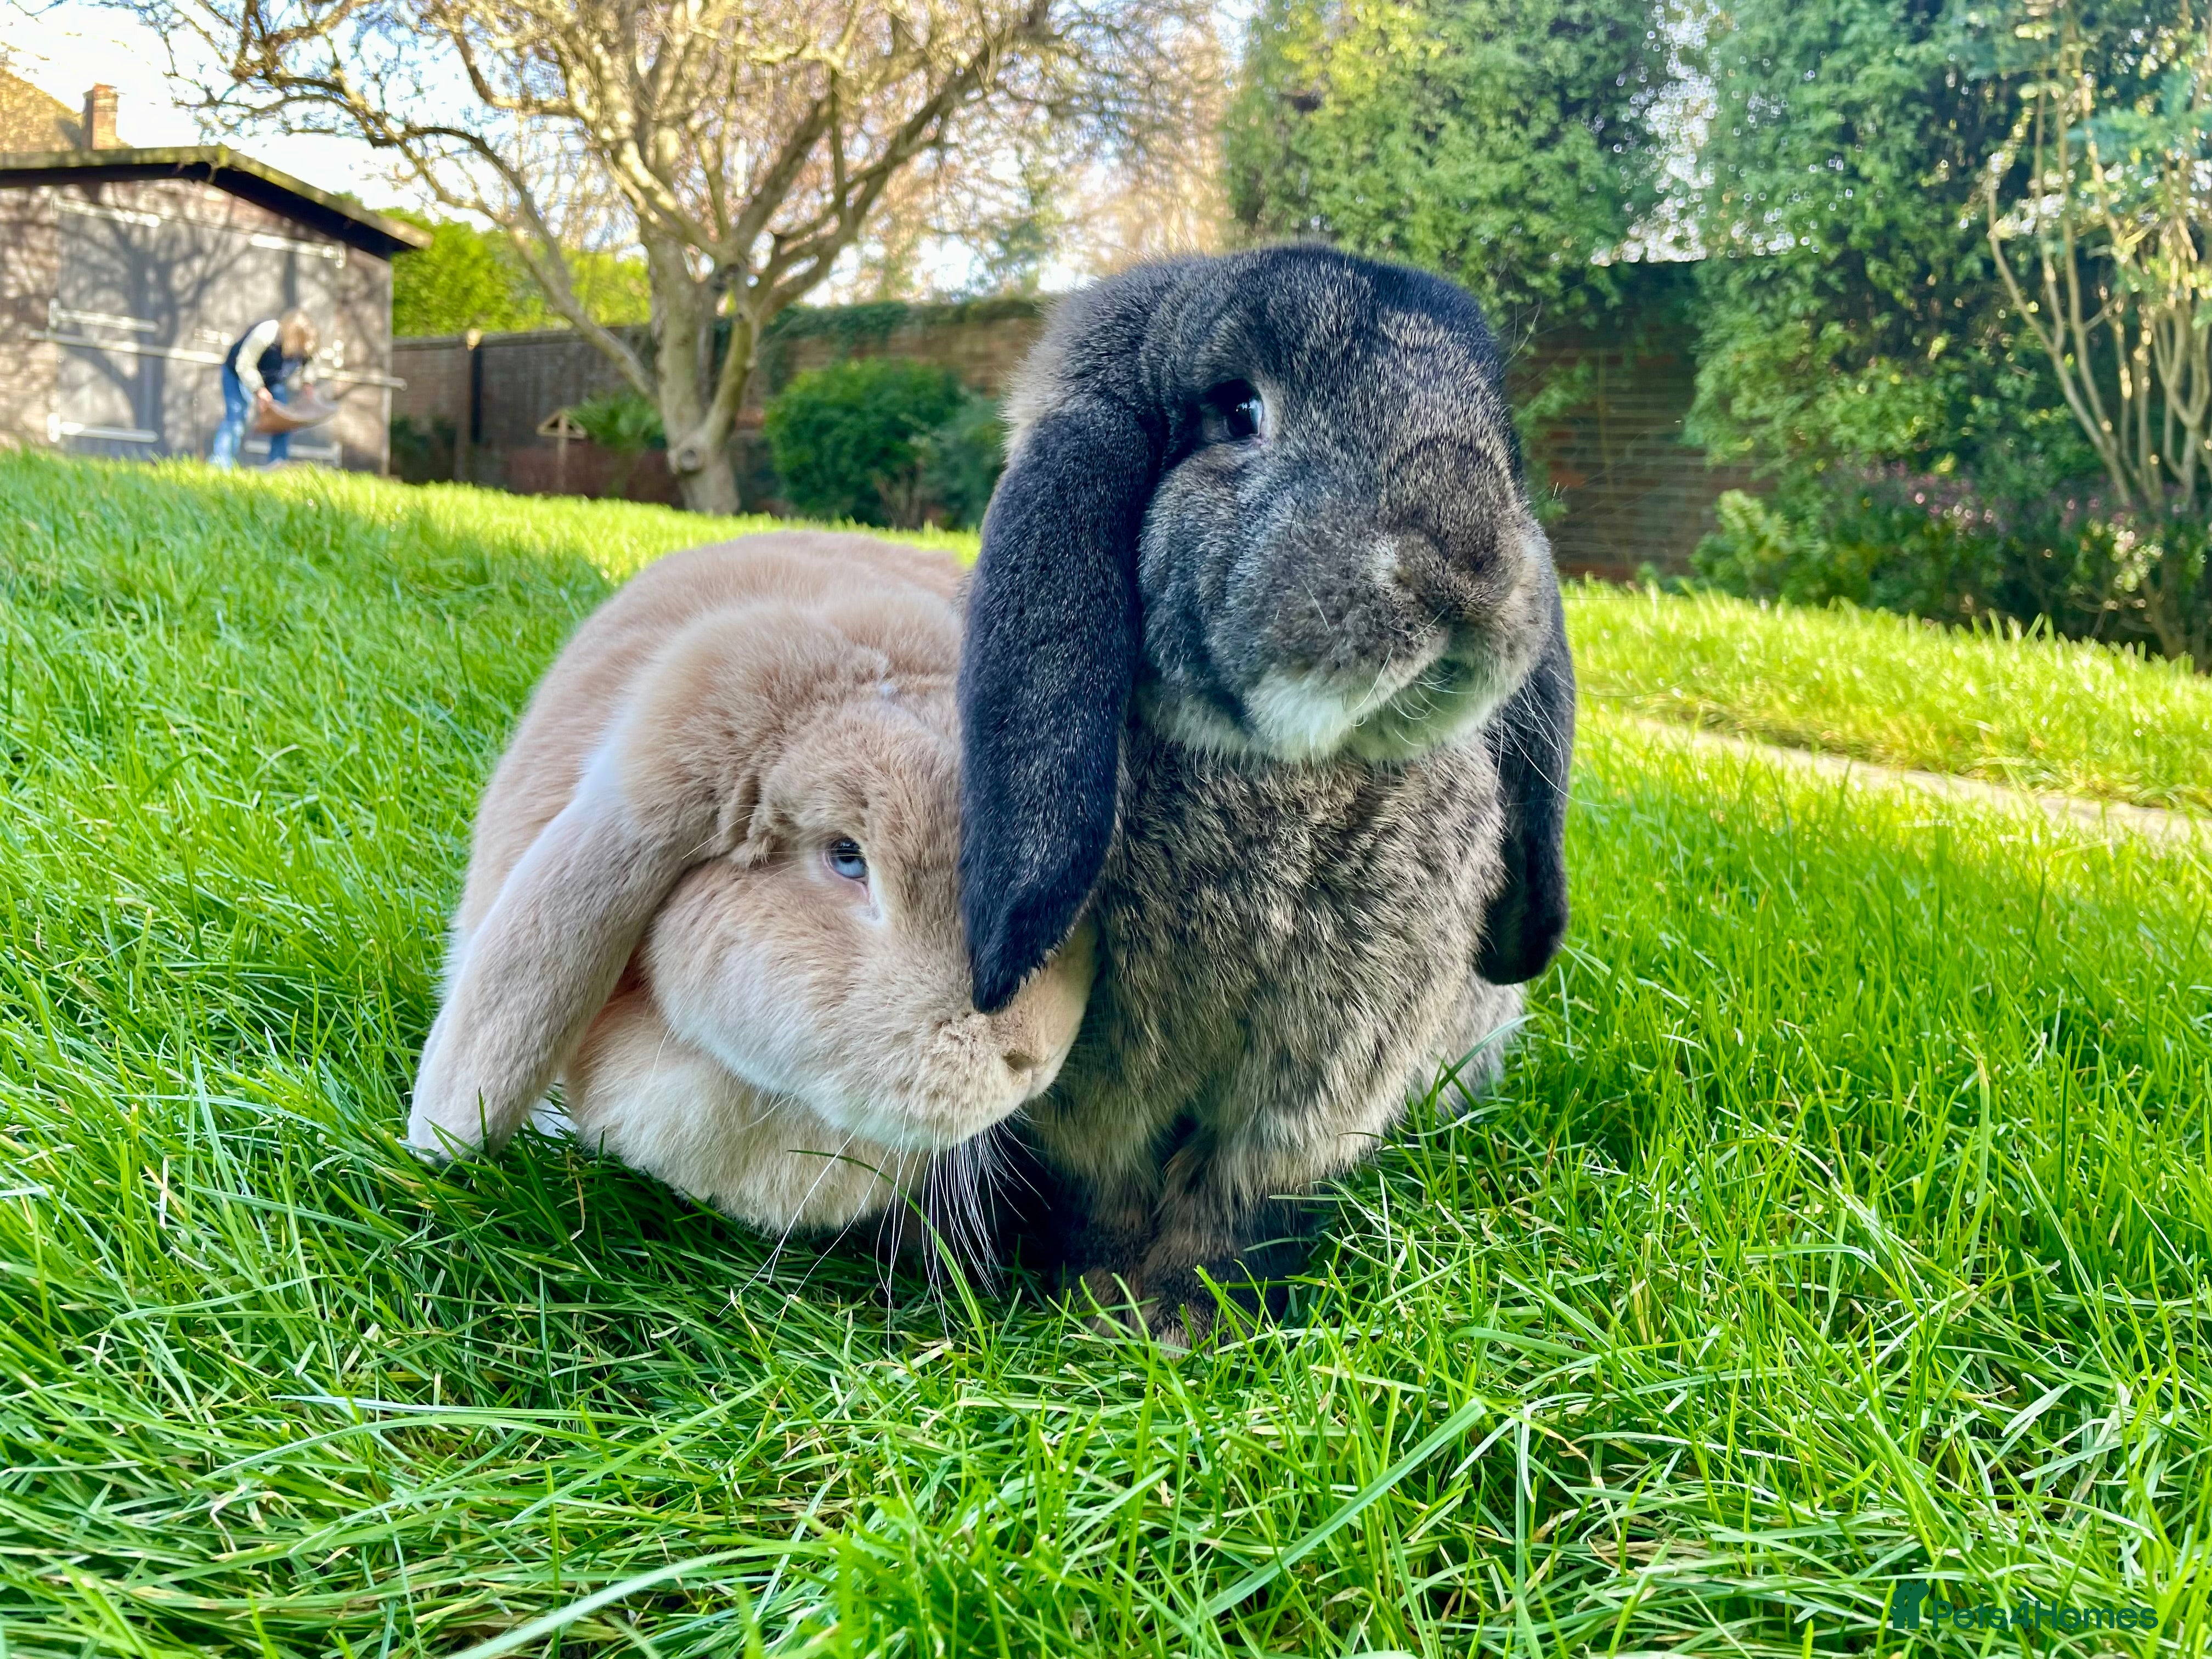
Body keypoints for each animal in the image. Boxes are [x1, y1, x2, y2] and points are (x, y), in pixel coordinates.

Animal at [957, 246, 1576, 1344]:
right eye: (1239, 409)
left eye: (1494, 434)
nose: (1466, 569)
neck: (1279, 766)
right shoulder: (1099, 1092)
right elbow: (1109, 1191)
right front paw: (1108, 1306)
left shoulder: (1324, 1073)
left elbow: (1238, 1195)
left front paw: (1196, 1314)